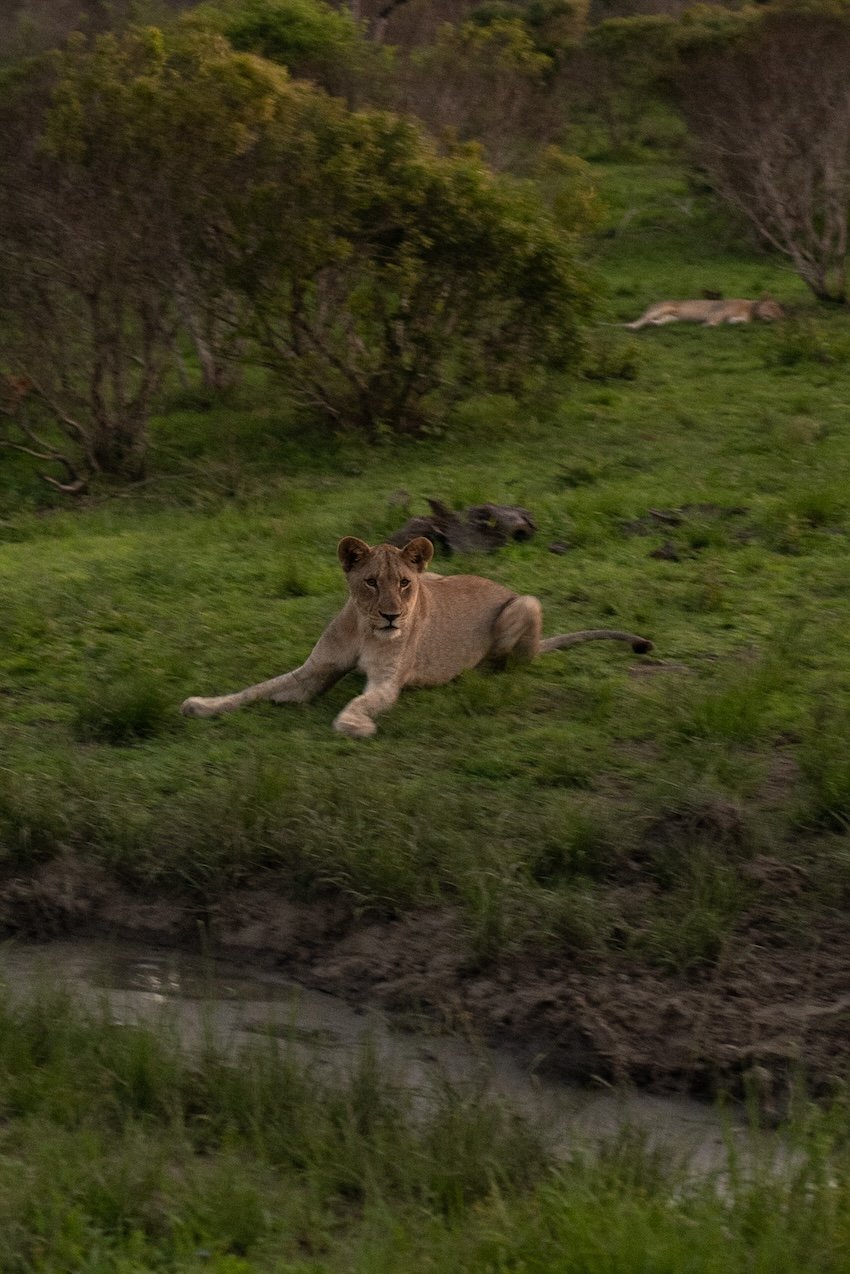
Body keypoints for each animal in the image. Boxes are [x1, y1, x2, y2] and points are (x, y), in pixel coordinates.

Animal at [180, 535, 652, 738]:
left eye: (404, 583)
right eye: (371, 582)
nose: (392, 616)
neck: (365, 629)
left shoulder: (388, 682)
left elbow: (360, 701)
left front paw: (354, 724)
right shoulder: (312, 673)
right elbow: (256, 689)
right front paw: (202, 705)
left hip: (525, 603)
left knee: (514, 661)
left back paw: (477, 672)